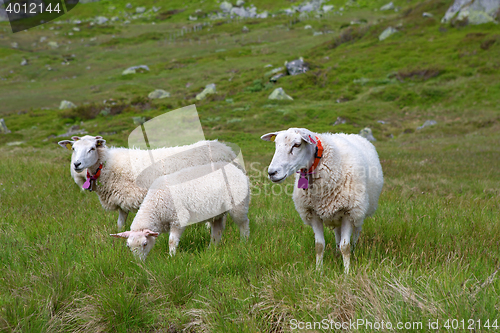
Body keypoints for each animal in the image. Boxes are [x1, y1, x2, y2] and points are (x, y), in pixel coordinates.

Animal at [57, 135, 243, 228]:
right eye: (73, 149)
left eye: (92, 148)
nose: (76, 164)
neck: (106, 165)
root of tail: (225, 149)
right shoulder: (122, 200)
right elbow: (120, 224)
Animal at [110, 161, 250, 260]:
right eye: (128, 246)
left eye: (144, 244)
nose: (139, 263)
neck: (156, 205)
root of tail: (237, 169)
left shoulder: (178, 219)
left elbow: (171, 241)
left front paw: (172, 257)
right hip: (217, 213)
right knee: (217, 231)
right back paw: (211, 249)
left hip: (239, 205)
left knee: (244, 223)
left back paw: (244, 242)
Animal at [262, 127, 382, 272]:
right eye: (276, 144)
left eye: (297, 145)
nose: (272, 173)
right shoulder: (313, 213)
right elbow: (319, 245)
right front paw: (318, 271)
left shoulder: (348, 212)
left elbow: (346, 247)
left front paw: (347, 272)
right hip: (337, 214)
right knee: (338, 234)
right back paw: (336, 252)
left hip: (359, 210)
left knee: (356, 233)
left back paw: (353, 250)